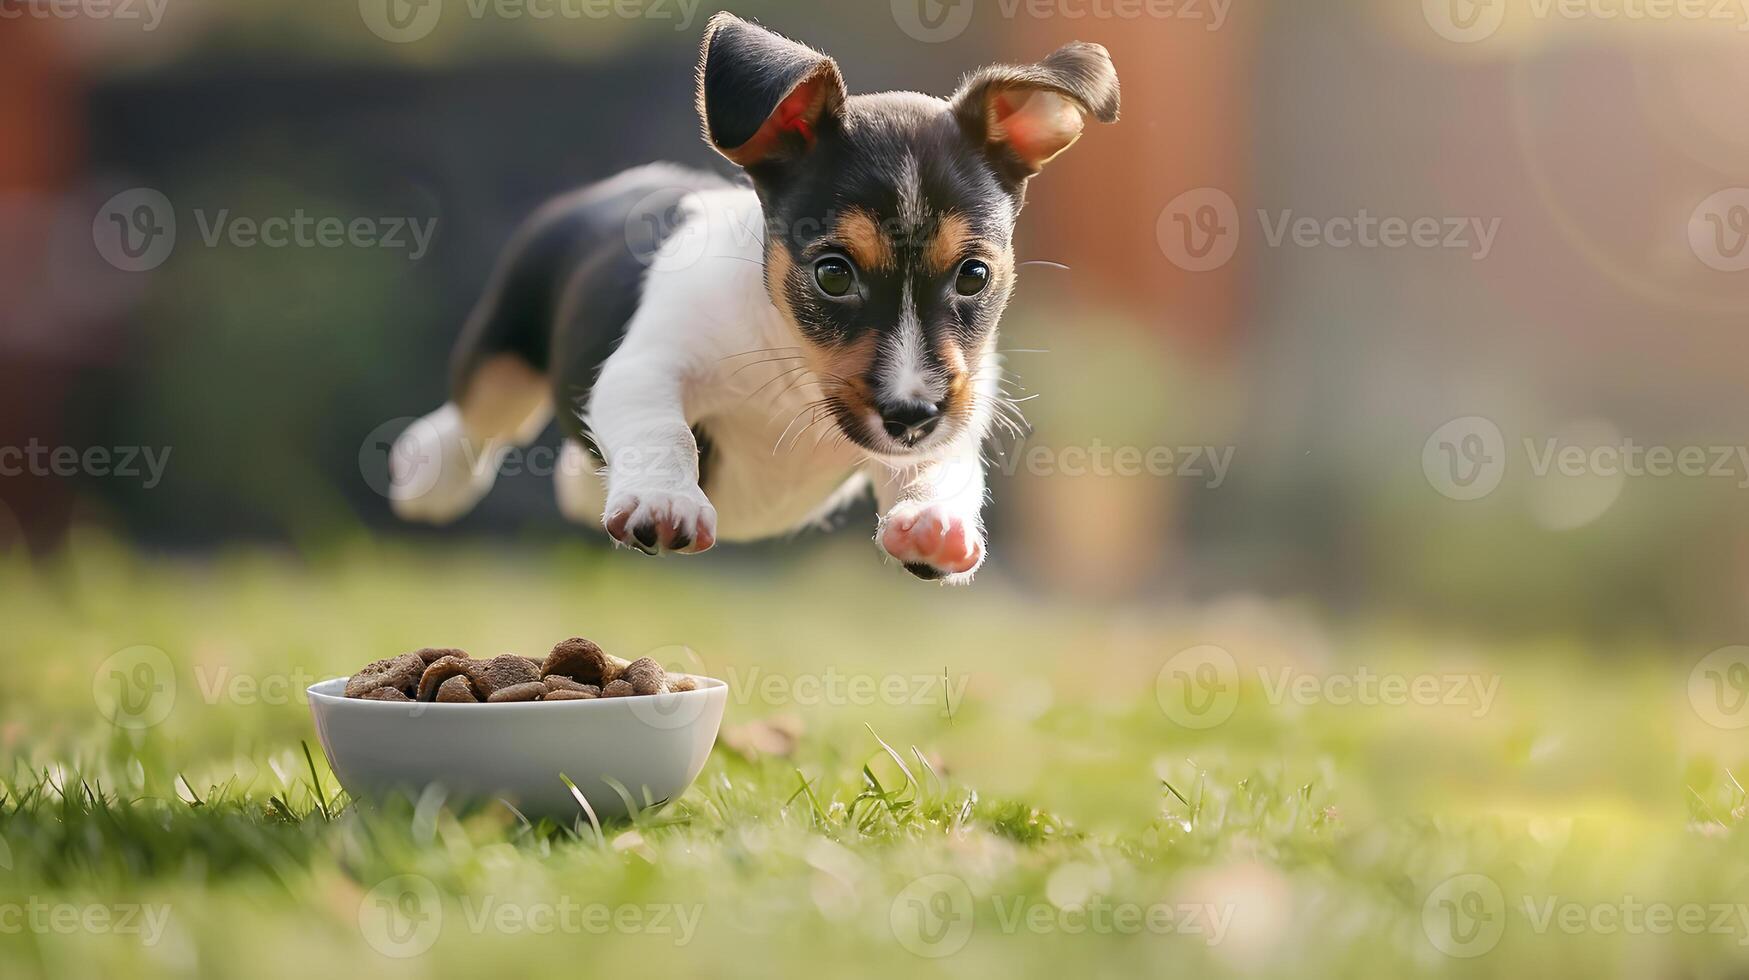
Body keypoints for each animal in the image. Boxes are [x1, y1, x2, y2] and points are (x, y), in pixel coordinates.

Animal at [388, 13, 1112, 581]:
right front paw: (664, 500)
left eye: (973, 276)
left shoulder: (951, 407)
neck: (792, 366)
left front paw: (932, 519)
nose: (910, 415)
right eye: (832, 275)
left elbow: (944, 463)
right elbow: (663, 433)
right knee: (483, 417)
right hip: (504, 355)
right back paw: (430, 469)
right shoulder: (642, 370)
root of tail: (619, 183)